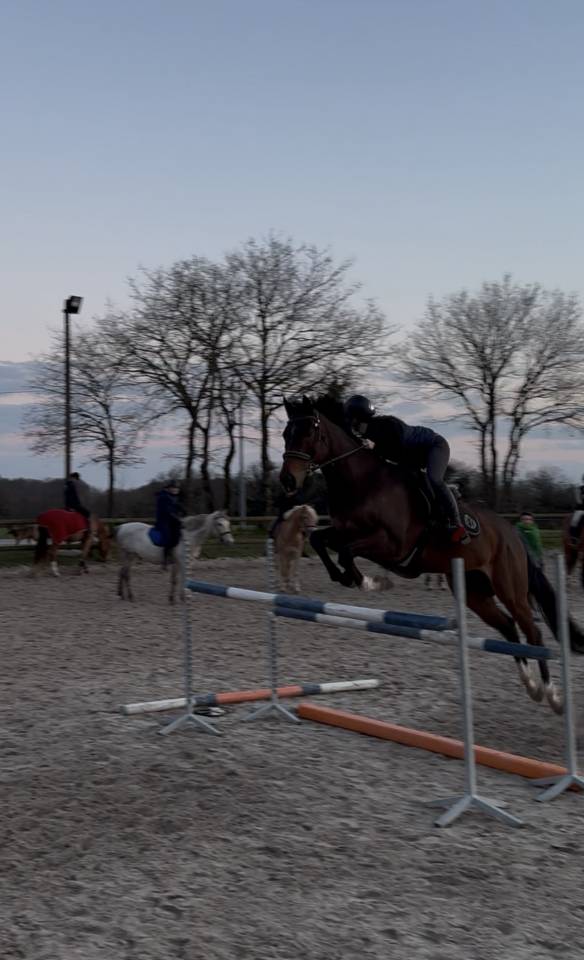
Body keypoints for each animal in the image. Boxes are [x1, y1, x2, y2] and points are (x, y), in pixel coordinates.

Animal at [280, 396, 584, 715]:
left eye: (308, 432)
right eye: (286, 434)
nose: (287, 480)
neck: (362, 482)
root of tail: (513, 534)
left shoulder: (392, 545)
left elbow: (347, 553)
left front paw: (366, 581)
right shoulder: (343, 532)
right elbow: (321, 540)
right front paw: (345, 578)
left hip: (510, 589)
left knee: (532, 633)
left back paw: (552, 696)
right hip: (475, 592)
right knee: (509, 628)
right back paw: (532, 686)